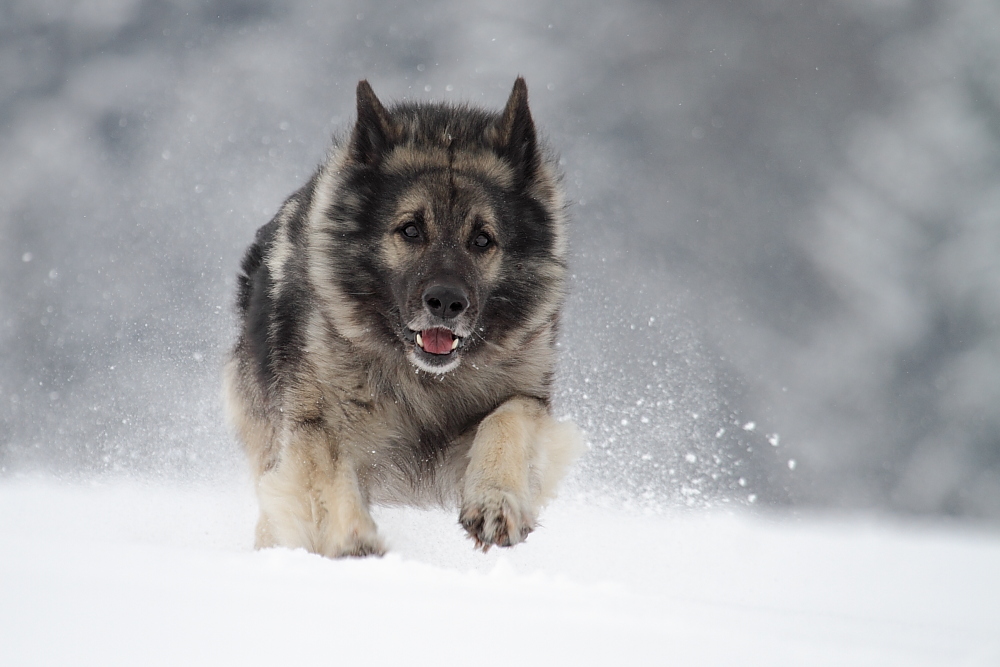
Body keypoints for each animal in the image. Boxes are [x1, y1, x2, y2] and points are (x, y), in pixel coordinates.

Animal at [223, 78, 584, 560]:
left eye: (482, 239)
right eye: (411, 230)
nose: (446, 302)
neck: (424, 382)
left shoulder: (520, 397)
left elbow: (508, 420)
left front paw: (496, 502)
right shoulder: (317, 424)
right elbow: (325, 477)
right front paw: (354, 541)